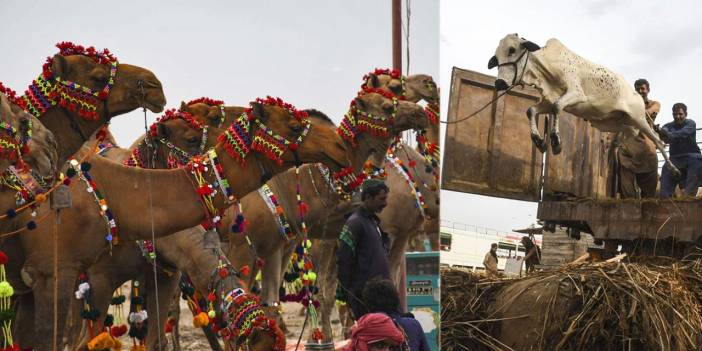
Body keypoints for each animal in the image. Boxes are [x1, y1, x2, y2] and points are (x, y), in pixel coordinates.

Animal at [12, 95, 350, 350]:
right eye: (293, 125)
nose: (339, 147)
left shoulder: (166, 276)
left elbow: (158, 338)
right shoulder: (94, 277)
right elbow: (87, 342)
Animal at [490, 33, 680, 176]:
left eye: (512, 50)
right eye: (496, 57)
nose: (499, 83)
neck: (546, 70)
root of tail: (637, 95)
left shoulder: (576, 94)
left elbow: (557, 107)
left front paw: (556, 141)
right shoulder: (547, 100)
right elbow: (531, 110)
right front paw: (539, 141)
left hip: (638, 118)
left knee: (656, 140)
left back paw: (673, 169)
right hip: (614, 122)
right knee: (629, 134)